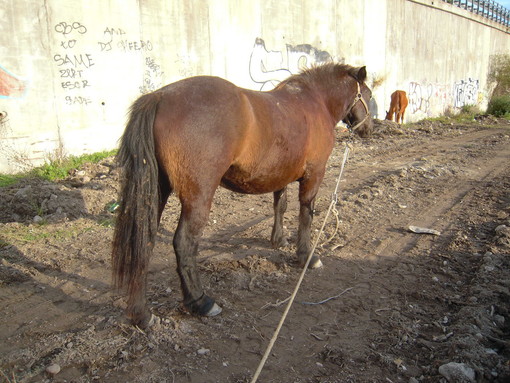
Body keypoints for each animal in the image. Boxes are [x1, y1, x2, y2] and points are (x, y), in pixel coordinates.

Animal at [113, 63, 372, 328]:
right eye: (369, 95)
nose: (368, 129)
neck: (314, 101)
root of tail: (159, 97)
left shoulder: (280, 173)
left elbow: (280, 205)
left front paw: (279, 240)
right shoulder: (314, 174)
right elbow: (306, 215)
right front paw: (306, 256)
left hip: (156, 192)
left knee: (144, 242)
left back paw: (142, 314)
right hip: (198, 196)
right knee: (184, 243)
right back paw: (200, 302)